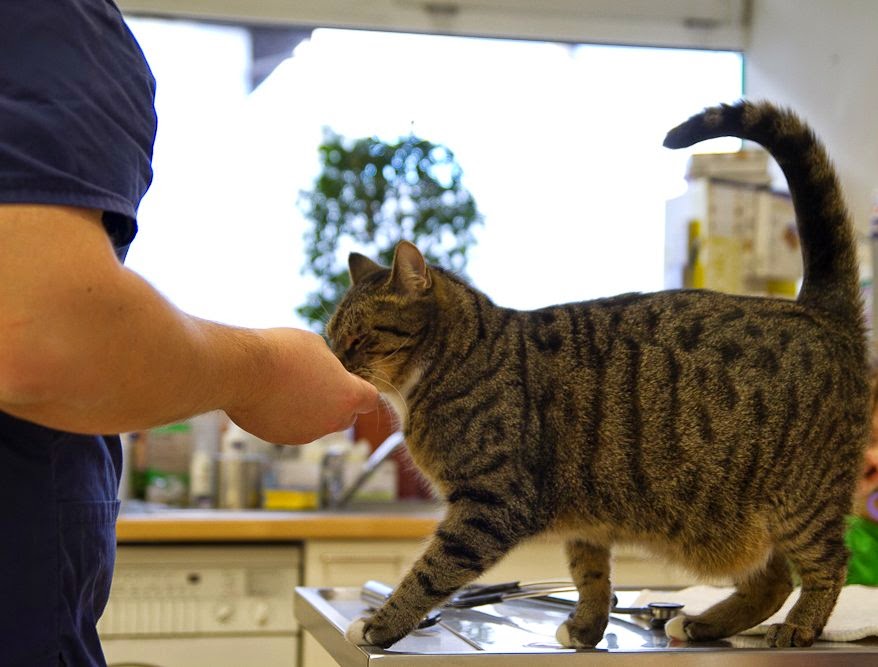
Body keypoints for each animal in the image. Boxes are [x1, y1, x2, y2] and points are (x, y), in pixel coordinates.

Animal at [326, 100, 870, 649]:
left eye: (359, 338)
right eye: (330, 337)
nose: (334, 361)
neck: (458, 359)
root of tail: (816, 309)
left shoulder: (491, 503)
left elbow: (431, 571)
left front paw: (381, 624)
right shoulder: (583, 518)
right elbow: (590, 574)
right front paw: (587, 627)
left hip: (802, 499)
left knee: (829, 565)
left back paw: (800, 625)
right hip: (727, 517)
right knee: (772, 580)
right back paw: (701, 623)